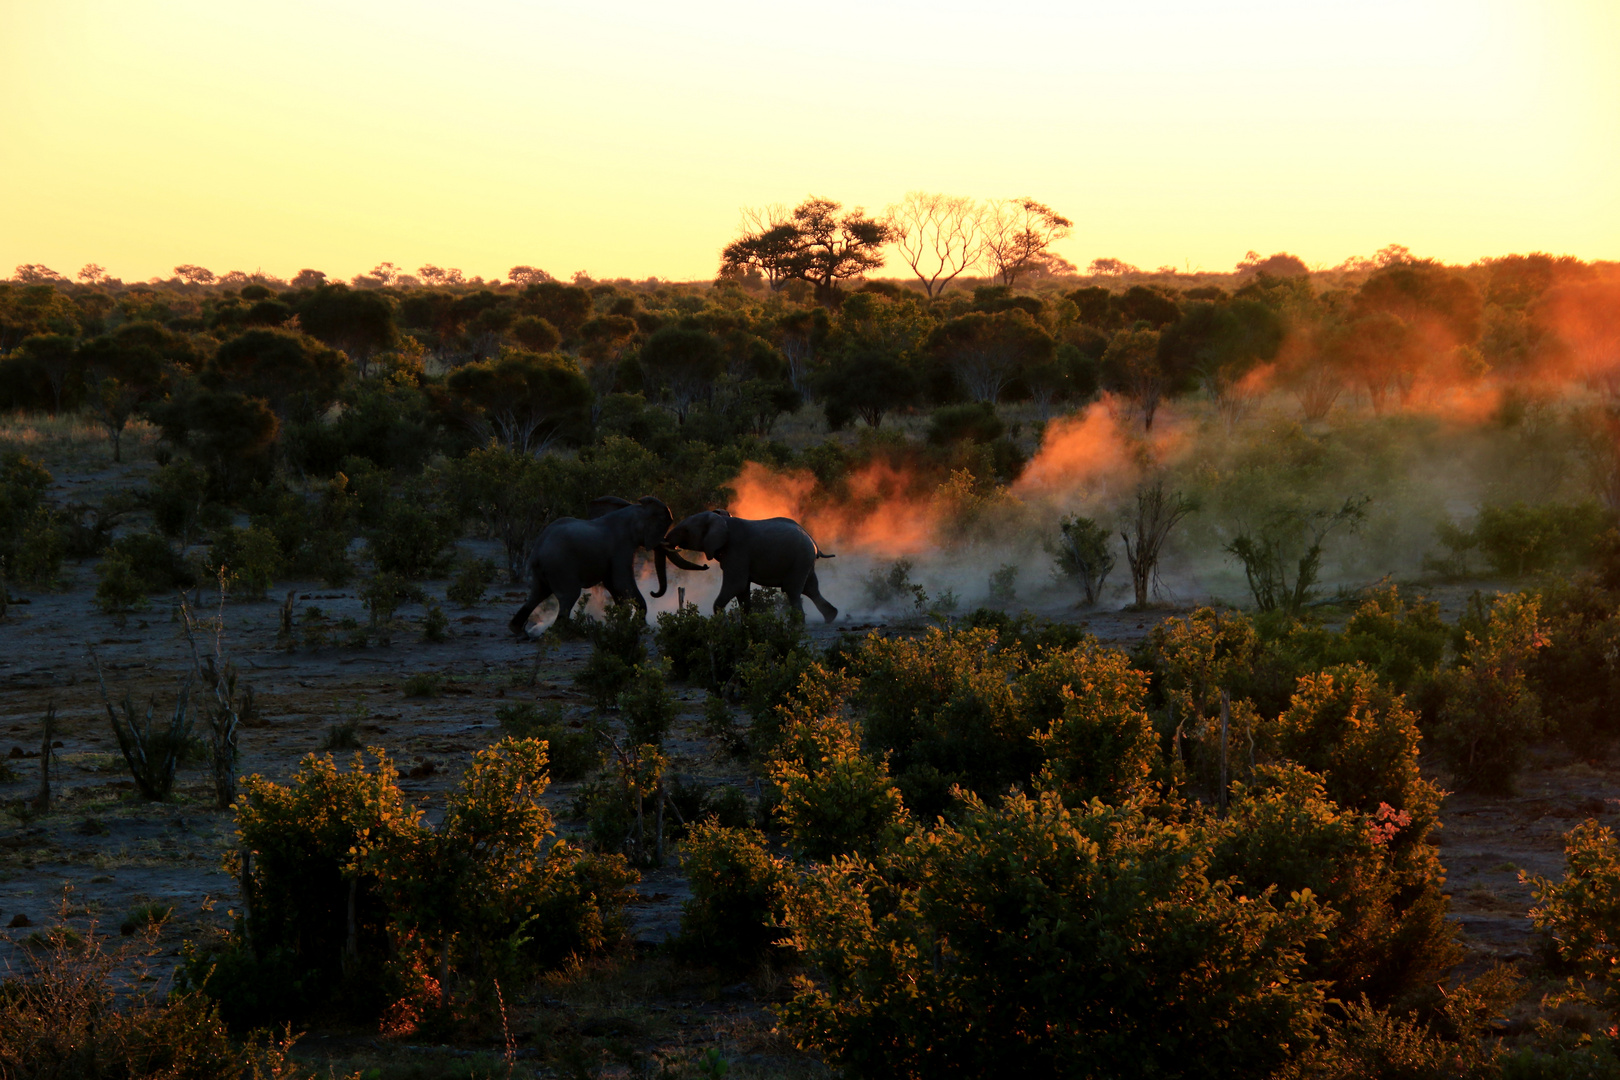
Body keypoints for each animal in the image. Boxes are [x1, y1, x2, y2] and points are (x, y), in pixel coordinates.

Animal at [508, 495, 706, 637]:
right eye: (661, 529)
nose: (705, 565)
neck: (632, 509)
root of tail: (538, 552)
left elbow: (613, 585)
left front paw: (622, 621)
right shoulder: (621, 547)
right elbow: (622, 582)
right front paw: (641, 625)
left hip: (543, 571)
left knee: (537, 594)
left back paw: (518, 630)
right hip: (560, 567)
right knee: (568, 596)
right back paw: (566, 631)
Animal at [660, 508, 835, 621]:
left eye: (686, 531)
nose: (704, 566)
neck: (723, 520)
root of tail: (813, 540)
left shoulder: (737, 550)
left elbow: (736, 584)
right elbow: (742, 590)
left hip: (800, 559)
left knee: (793, 591)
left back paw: (797, 628)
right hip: (805, 561)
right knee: (810, 589)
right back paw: (831, 617)